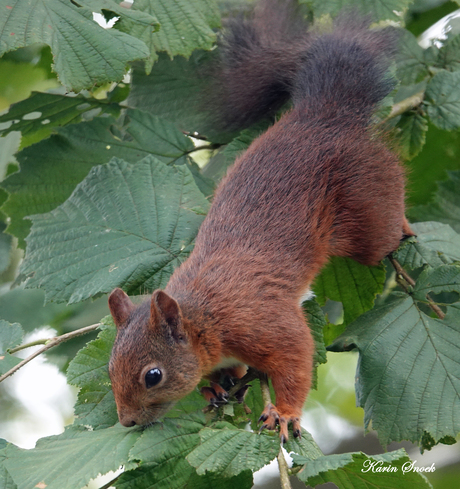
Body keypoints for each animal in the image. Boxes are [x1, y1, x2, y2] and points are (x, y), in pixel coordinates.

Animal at [107, 0, 414, 442]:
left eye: (153, 375)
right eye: (110, 367)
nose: (127, 421)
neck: (205, 317)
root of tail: (323, 113)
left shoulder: (261, 322)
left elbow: (295, 358)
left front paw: (284, 412)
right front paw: (215, 387)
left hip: (367, 200)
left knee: (382, 227)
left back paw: (404, 225)